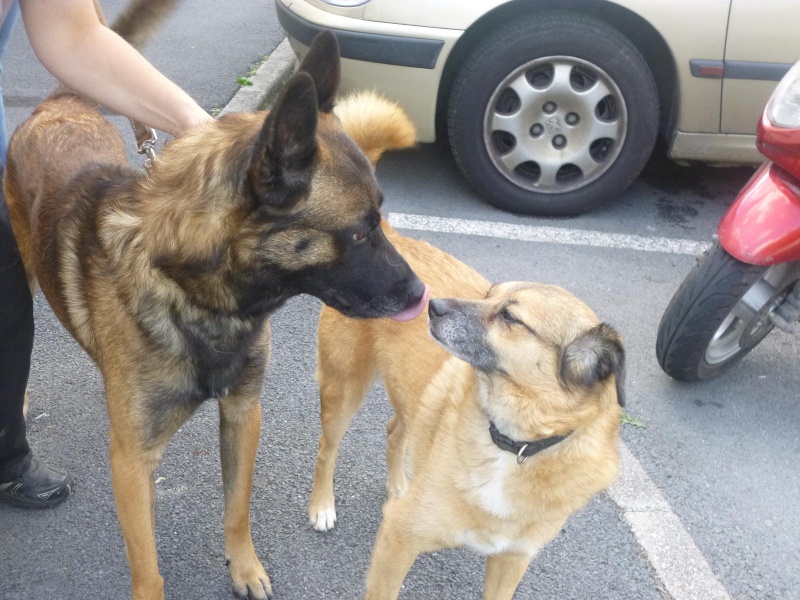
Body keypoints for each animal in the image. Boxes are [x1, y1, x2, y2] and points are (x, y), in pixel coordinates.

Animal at [4, 9, 424, 600]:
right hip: (24, 272)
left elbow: (236, 510)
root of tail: (58, 105)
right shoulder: (132, 462)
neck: (202, 298)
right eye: (360, 232)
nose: (421, 296)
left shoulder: (243, 413)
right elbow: (147, 568)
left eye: (380, 220)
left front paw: (244, 569)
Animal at [310, 95, 628, 600]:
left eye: (511, 317)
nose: (431, 305)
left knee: (395, 431)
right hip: (344, 389)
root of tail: (389, 234)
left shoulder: (510, 561)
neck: (514, 443)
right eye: (489, 295)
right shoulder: (399, 537)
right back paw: (321, 505)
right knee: (327, 448)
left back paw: (398, 483)